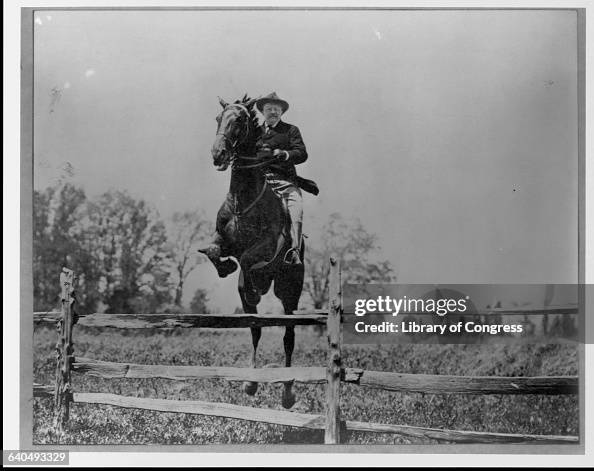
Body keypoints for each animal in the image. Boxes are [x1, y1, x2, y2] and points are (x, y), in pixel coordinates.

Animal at [198, 96, 302, 410]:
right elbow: (213, 250)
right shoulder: (222, 240)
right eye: (218, 118)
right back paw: (251, 382)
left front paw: (251, 284)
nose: (217, 153)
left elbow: (247, 258)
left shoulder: (267, 245)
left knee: (289, 335)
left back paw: (288, 392)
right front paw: (225, 268)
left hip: (289, 292)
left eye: (240, 120)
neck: (242, 200)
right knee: (255, 328)